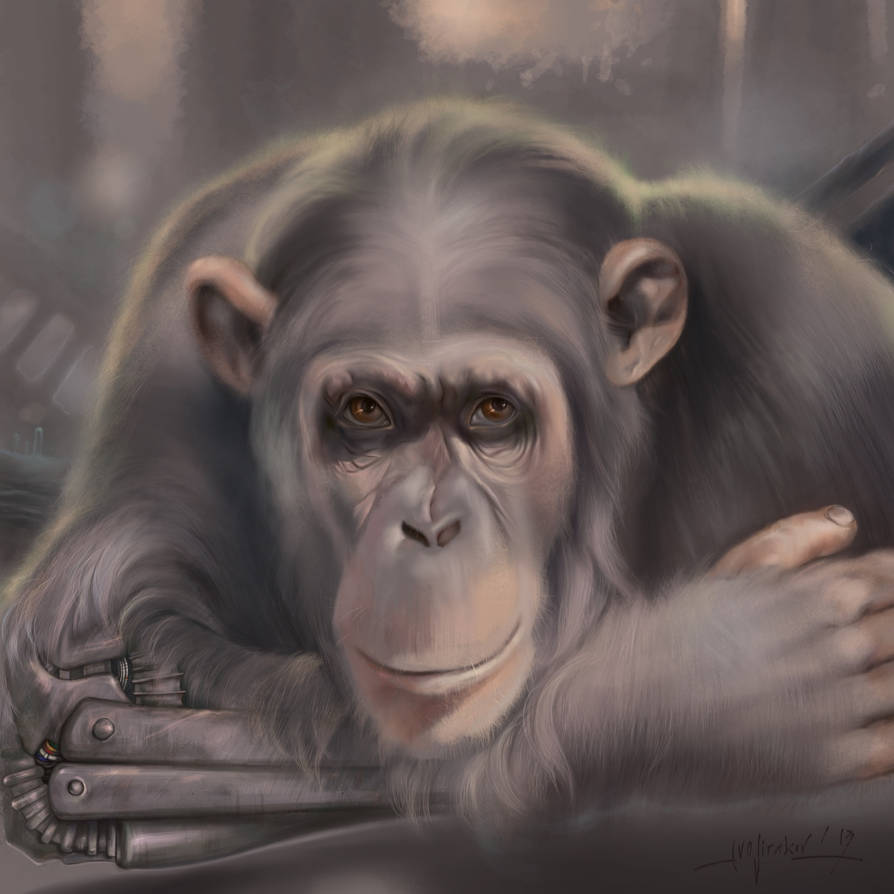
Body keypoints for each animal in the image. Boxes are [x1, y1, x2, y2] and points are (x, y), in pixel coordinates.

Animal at [4, 98, 894, 865]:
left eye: (491, 410)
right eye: (364, 411)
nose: (430, 526)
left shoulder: (812, 331)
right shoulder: (163, 368)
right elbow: (111, 592)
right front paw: (706, 684)